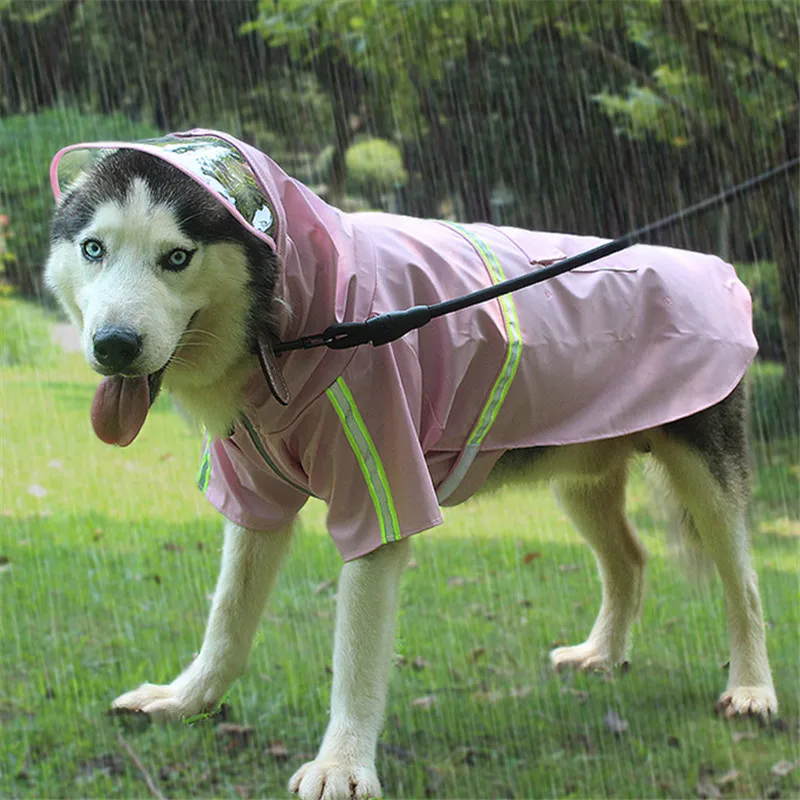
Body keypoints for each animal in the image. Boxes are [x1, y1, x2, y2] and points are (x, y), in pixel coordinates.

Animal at [45, 128, 776, 796]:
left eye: (177, 256)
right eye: (94, 249)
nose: (113, 346)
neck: (291, 329)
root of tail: (717, 267)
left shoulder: (379, 495)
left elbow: (357, 655)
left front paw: (342, 767)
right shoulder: (254, 498)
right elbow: (228, 617)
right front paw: (186, 700)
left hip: (706, 473)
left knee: (744, 583)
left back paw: (751, 690)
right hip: (581, 470)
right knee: (629, 559)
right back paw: (603, 654)